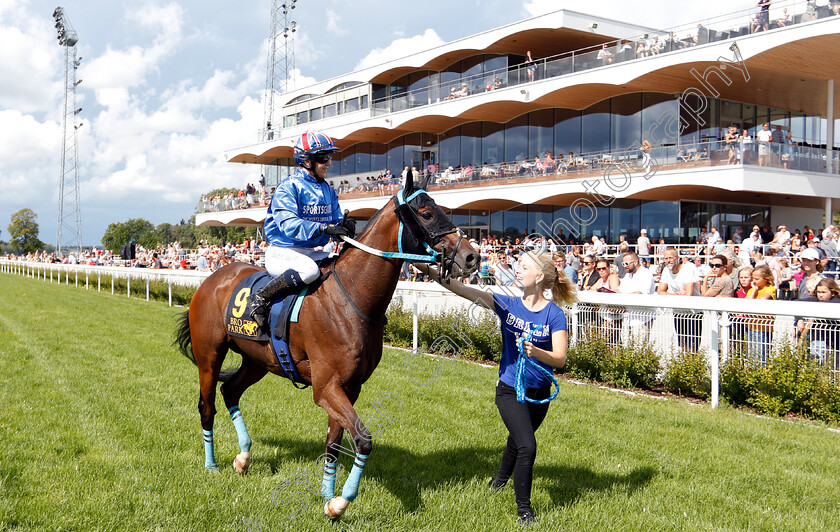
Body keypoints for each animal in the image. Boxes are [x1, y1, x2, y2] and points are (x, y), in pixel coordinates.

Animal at [176, 176, 480, 520]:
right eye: (427, 213)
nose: (472, 257)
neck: (351, 299)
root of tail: (213, 278)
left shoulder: (349, 386)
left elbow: (334, 443)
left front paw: (327, 495)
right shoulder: (326, 387)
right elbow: (363, 440)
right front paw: (340, 501)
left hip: (258, 361)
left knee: (231, 391)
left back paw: (243, 458)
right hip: (209, 357)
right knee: (207, 406)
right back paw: (211, 464)